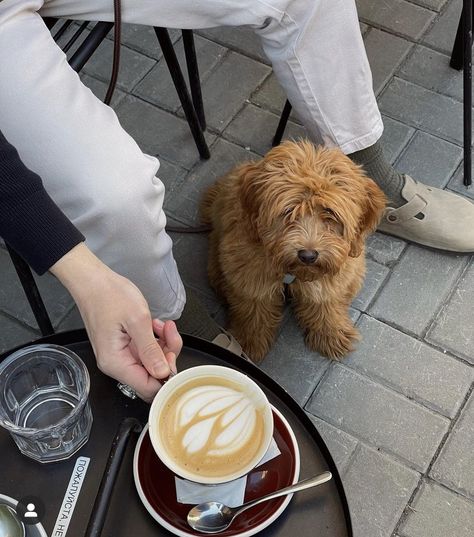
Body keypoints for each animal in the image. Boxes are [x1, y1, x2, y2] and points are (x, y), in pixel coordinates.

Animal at [200, 140, 386, 362]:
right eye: (288, 212)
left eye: (329, 213)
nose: (308, 255)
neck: (292, 274)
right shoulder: (249, 276)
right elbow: (253, 310)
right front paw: (248, 343)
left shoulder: (331, 278)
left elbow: (325, 302)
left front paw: (331, 335)